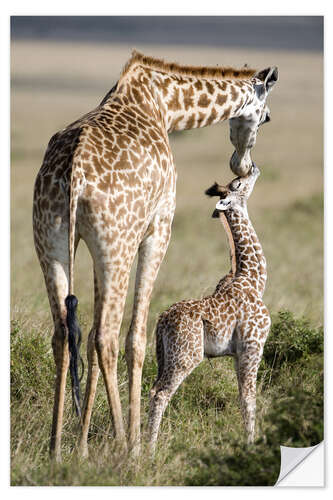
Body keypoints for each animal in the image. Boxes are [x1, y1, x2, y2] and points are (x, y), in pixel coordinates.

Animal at [147, 166, 270, 452]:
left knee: (152, 389)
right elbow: (249, 398)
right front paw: (251, 446)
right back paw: (147, 451)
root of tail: (161, 320)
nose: (254, 167)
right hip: (186, 356)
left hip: (163, 355)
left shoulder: (238, 353)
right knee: (160, 394)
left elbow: (242, 396)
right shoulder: (253, 346)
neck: (254, 279)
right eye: (238, 184)